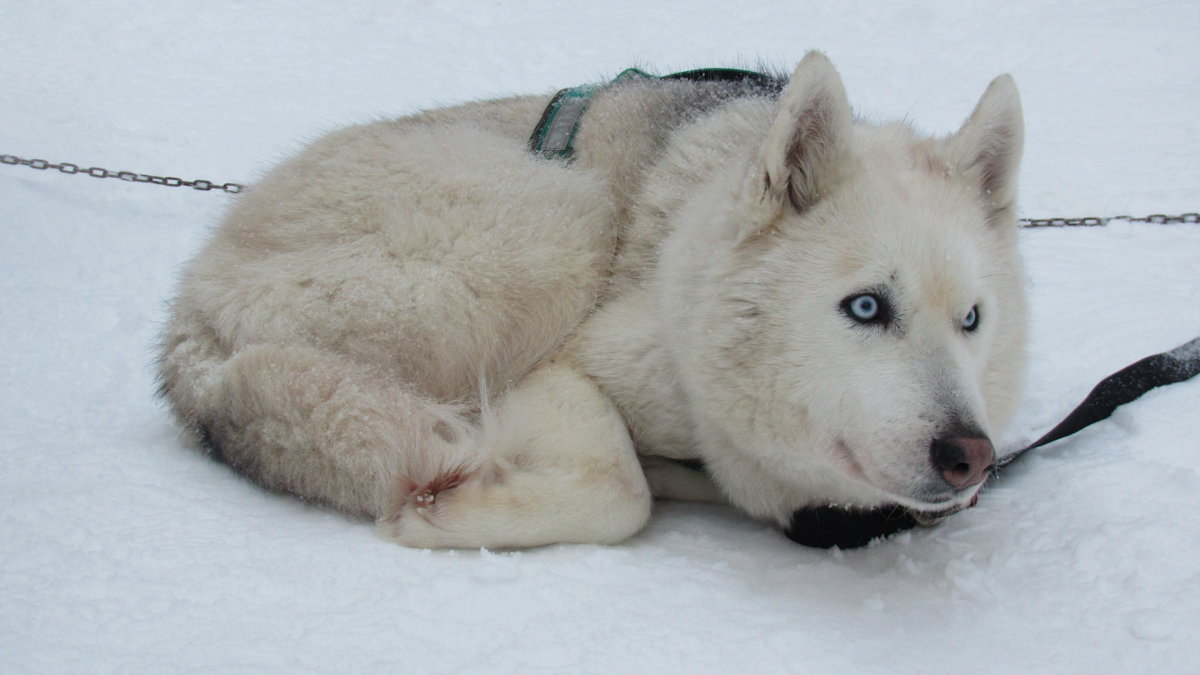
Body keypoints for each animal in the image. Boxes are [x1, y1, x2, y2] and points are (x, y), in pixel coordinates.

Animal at [154, 52, 1027, 547]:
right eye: (867, 306)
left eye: (972, 319)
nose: (970, 454)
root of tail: (187, 308)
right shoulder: (564, 365)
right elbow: (619, 493)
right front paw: (452, 515)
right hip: (558, 219)